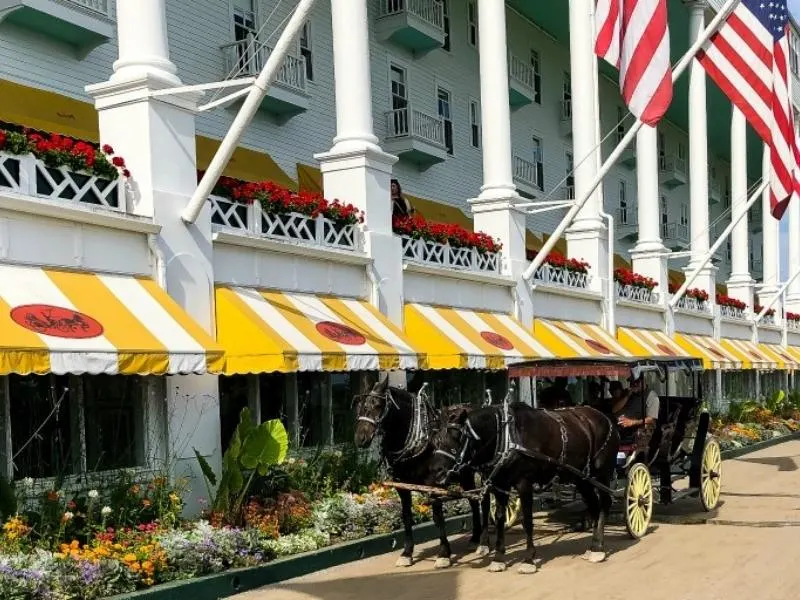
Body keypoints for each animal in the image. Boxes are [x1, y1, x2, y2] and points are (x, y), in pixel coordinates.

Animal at [354, 378, 488, 568]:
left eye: (378, 405)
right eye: (360, 405)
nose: (360, 438)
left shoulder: (433, 483)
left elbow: (438, 516)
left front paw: (443, 554)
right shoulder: (401, 485)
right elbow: (406, 516)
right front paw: (407, 552)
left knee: (482, 500)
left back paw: (481, 541)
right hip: (465, 474)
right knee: (474, 500)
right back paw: (475, 538)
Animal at [432, 400, 620, 576]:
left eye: (457, 436)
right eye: (435, 438)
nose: (437, 471)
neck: (508, 436)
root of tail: (605, 417)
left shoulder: (524, 484)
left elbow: (528, 520)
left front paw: (528, 559)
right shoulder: (500, 485)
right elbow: (500, 518)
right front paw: (498, 557)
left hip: (602, 473)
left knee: (605, 503)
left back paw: (599, 547)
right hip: (582, 478)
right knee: (594, 506)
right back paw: (593, 546)